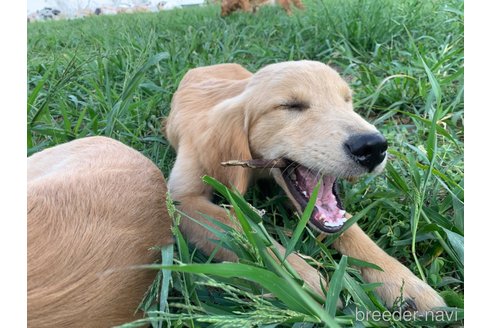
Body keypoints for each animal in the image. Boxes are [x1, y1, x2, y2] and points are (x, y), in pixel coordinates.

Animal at [164, 60, 446, 312]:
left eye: (346, 100)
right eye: (290, 105)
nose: (373, 147)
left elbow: (350, 228)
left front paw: (401, 281)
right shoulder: (183, 200)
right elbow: (240, 228)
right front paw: (300, 280)